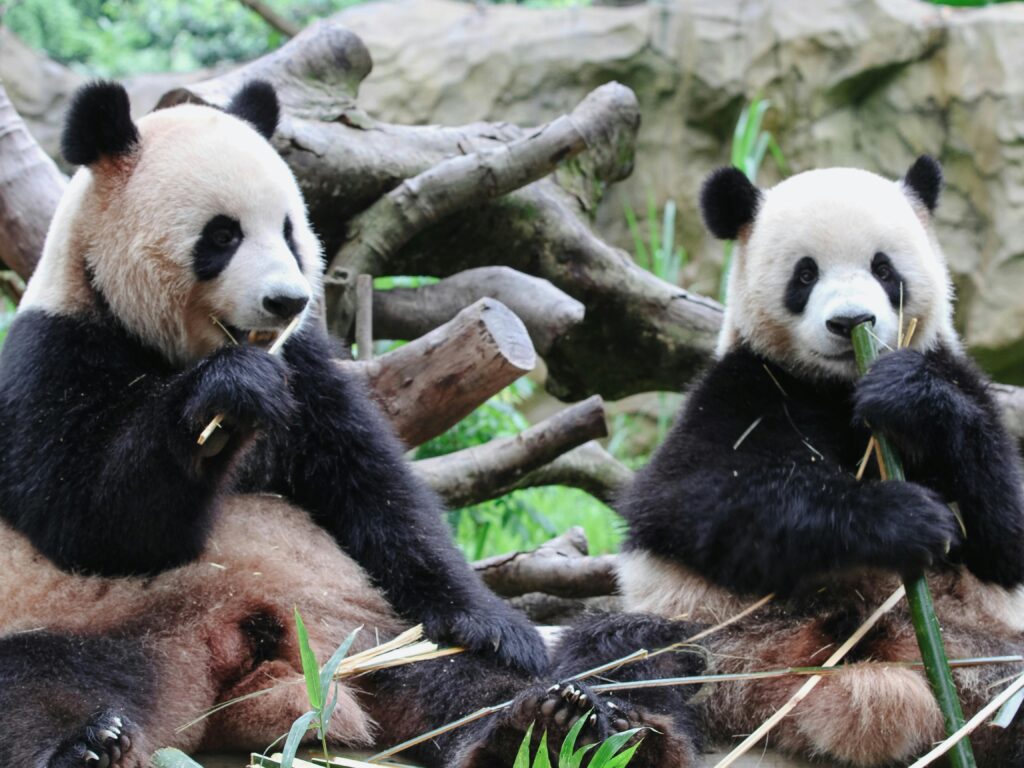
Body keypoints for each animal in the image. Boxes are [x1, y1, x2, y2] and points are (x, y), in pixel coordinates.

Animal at [0, 80, 706, 768]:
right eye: (222, 236)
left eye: (290, 230)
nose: (286, 300)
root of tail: (240, 663)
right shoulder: (53, 357)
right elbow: (96, 526)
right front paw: (226, 398)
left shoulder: (308, 370)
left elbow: (374, 492)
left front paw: (496, 626)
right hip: (88, 620)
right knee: (40, 683)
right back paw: (89, 744)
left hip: (371, 627)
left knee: (454, 673)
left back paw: (561, 725)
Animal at [617, 157, 1024, 766]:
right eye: (804, 275)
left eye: (884, 268)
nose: (850, 322)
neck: (839, 386)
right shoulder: (741, 387)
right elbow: (693, 497)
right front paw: (906, 518)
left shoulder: (959, 374)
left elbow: (1007, 529)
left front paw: (908, 397)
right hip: (709, 630)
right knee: (626, 654)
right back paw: (603, 726)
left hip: (979, 652)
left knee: (1008, 686)